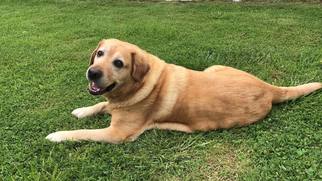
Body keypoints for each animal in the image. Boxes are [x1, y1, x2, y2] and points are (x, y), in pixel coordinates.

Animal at [45, 39, 322, 144]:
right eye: (100, 54)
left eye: (119, 63)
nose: (92, 73)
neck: (139, 85)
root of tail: (267, 86)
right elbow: (101, 105)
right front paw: (83, 110)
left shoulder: (117, 134)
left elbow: (82, 133)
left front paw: (58, 135)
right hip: (213, 67)